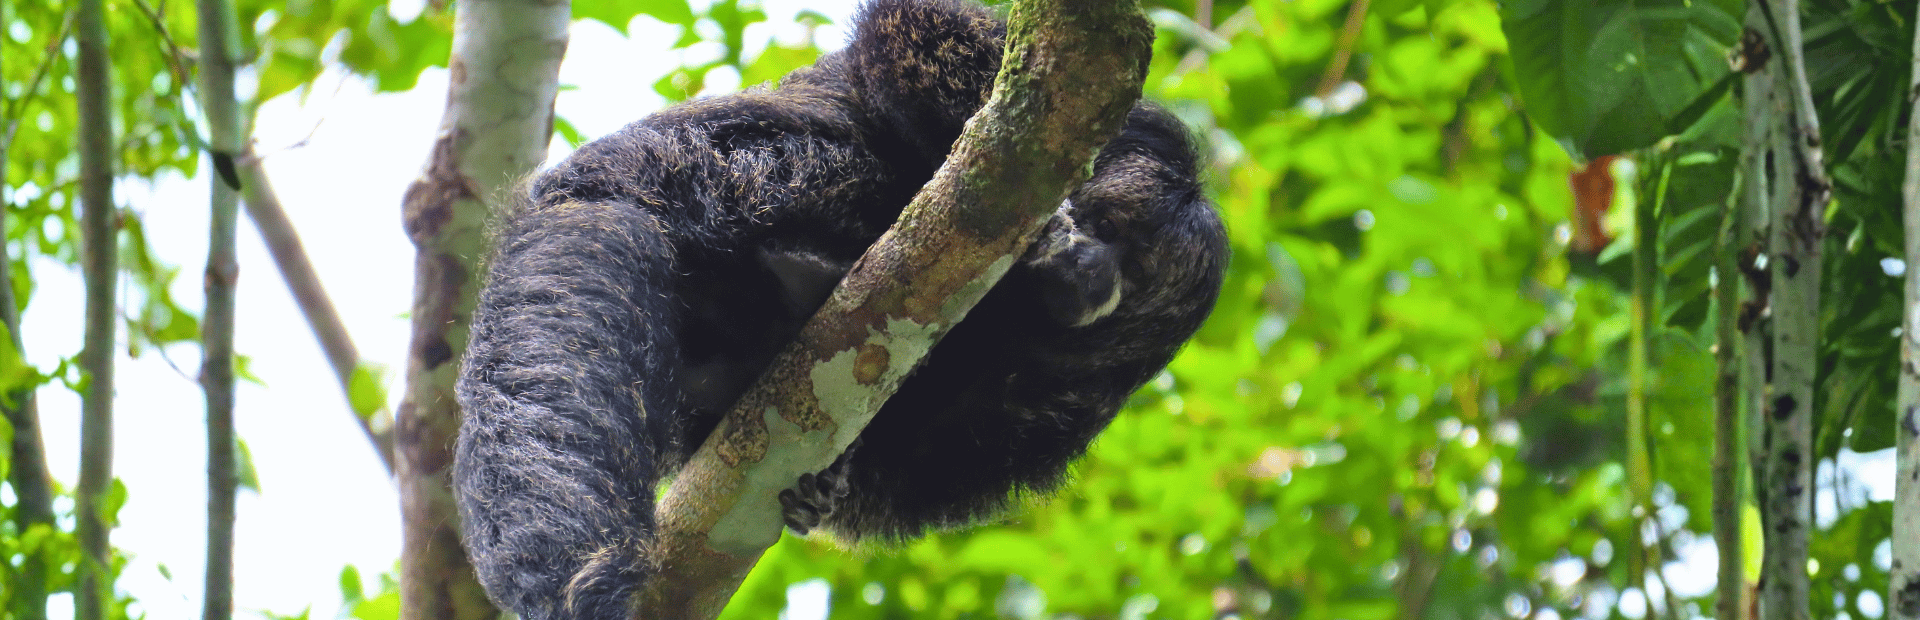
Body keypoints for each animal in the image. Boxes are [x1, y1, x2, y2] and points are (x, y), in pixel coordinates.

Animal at [451, 0, 1228, 617]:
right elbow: (914, 36)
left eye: (1138, 275)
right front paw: (1049, 235)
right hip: (709, 169)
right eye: (1112, 231)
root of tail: (591, 186)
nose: (1099, 276)